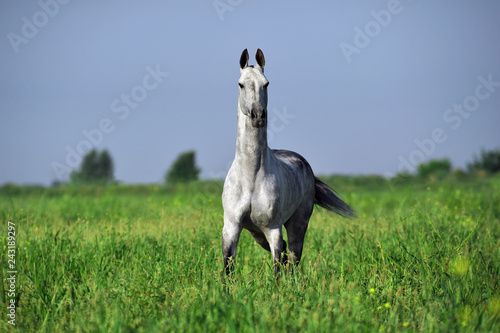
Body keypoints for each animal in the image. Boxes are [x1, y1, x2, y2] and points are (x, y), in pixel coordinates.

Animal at [223, 47, 356, 274]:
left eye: (266, 83)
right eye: (241, 84)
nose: (258, 116)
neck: (250, 177)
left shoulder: (273, 228)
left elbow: (277, 267)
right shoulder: (232, 227)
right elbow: (228, 268)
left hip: (297, 224)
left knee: (292, 256)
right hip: (256, 233)